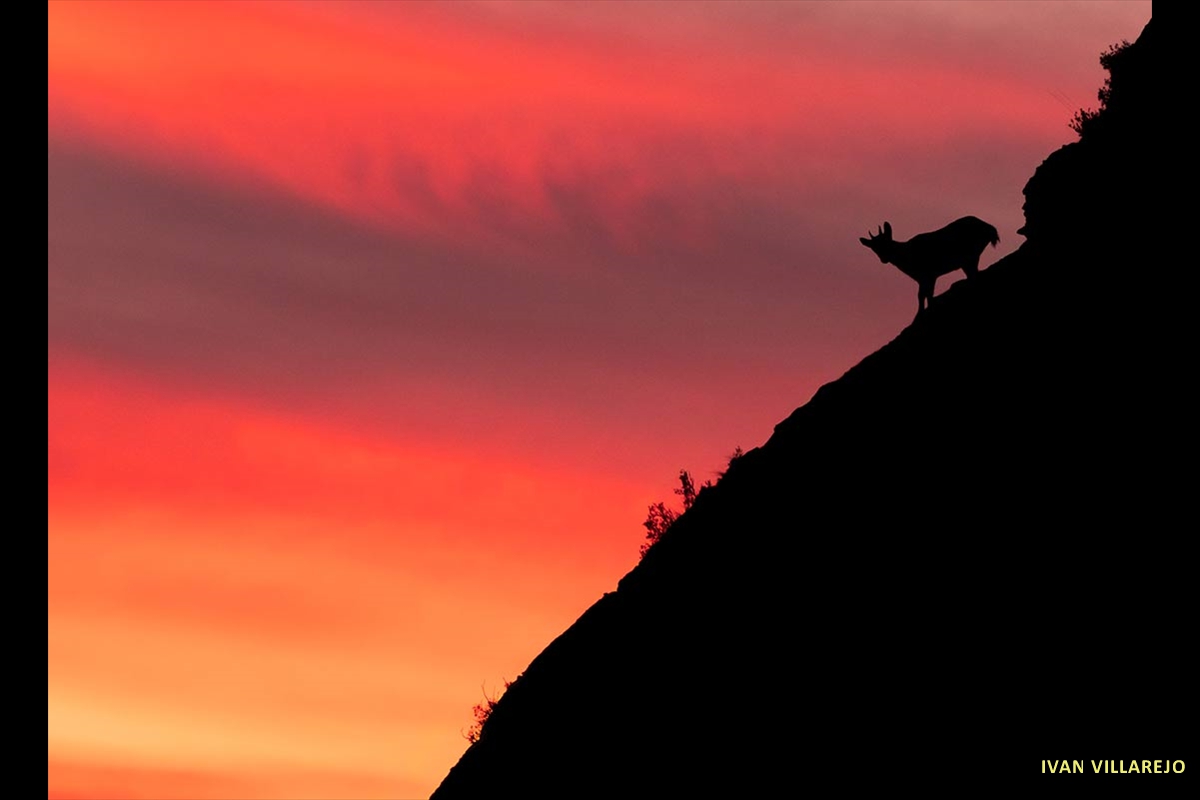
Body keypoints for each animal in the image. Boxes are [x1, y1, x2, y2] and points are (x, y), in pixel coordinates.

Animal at [860, 216, 999, 315]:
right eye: (874, 248)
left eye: (887, 241)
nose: (884, 259)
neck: (907, 255)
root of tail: (990, 228)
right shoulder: (921, 278)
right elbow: (921, 294)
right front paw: (920, 312)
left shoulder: (930, 274)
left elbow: (928, 294)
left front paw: (923, 312)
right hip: (968, 259)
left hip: (971, 255)